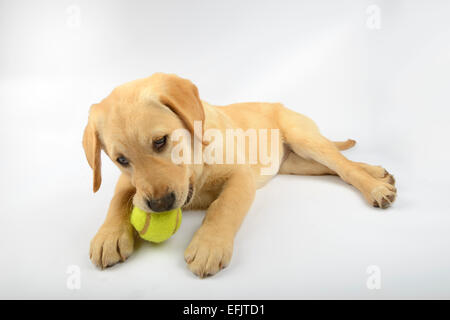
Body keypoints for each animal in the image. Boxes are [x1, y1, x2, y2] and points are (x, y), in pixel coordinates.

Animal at [82, 72, 396, 278]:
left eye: (160, 141)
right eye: (121, 160)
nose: (160, 206)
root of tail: (282, 105)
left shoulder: (241, 177)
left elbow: (225, 206)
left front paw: (209, 245)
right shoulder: (127, 181)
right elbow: (118, 199)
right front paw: (108, 236)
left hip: (304, 138)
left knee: (343, 165)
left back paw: (376, 186)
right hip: (296, 162)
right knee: (336, 166)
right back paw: (378, 172)